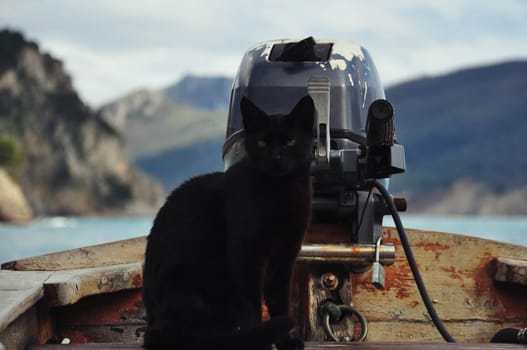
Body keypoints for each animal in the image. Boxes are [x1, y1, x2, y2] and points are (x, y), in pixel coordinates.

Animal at [142, 94, 316, 348]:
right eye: (262, 143)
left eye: (291, 142)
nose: (276, 156)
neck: (281, 192)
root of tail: (152, 325)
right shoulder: (244, 253)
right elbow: (252, 304)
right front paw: (259, 339)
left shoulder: (285, 253)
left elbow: (278, 300)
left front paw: (285, 341)